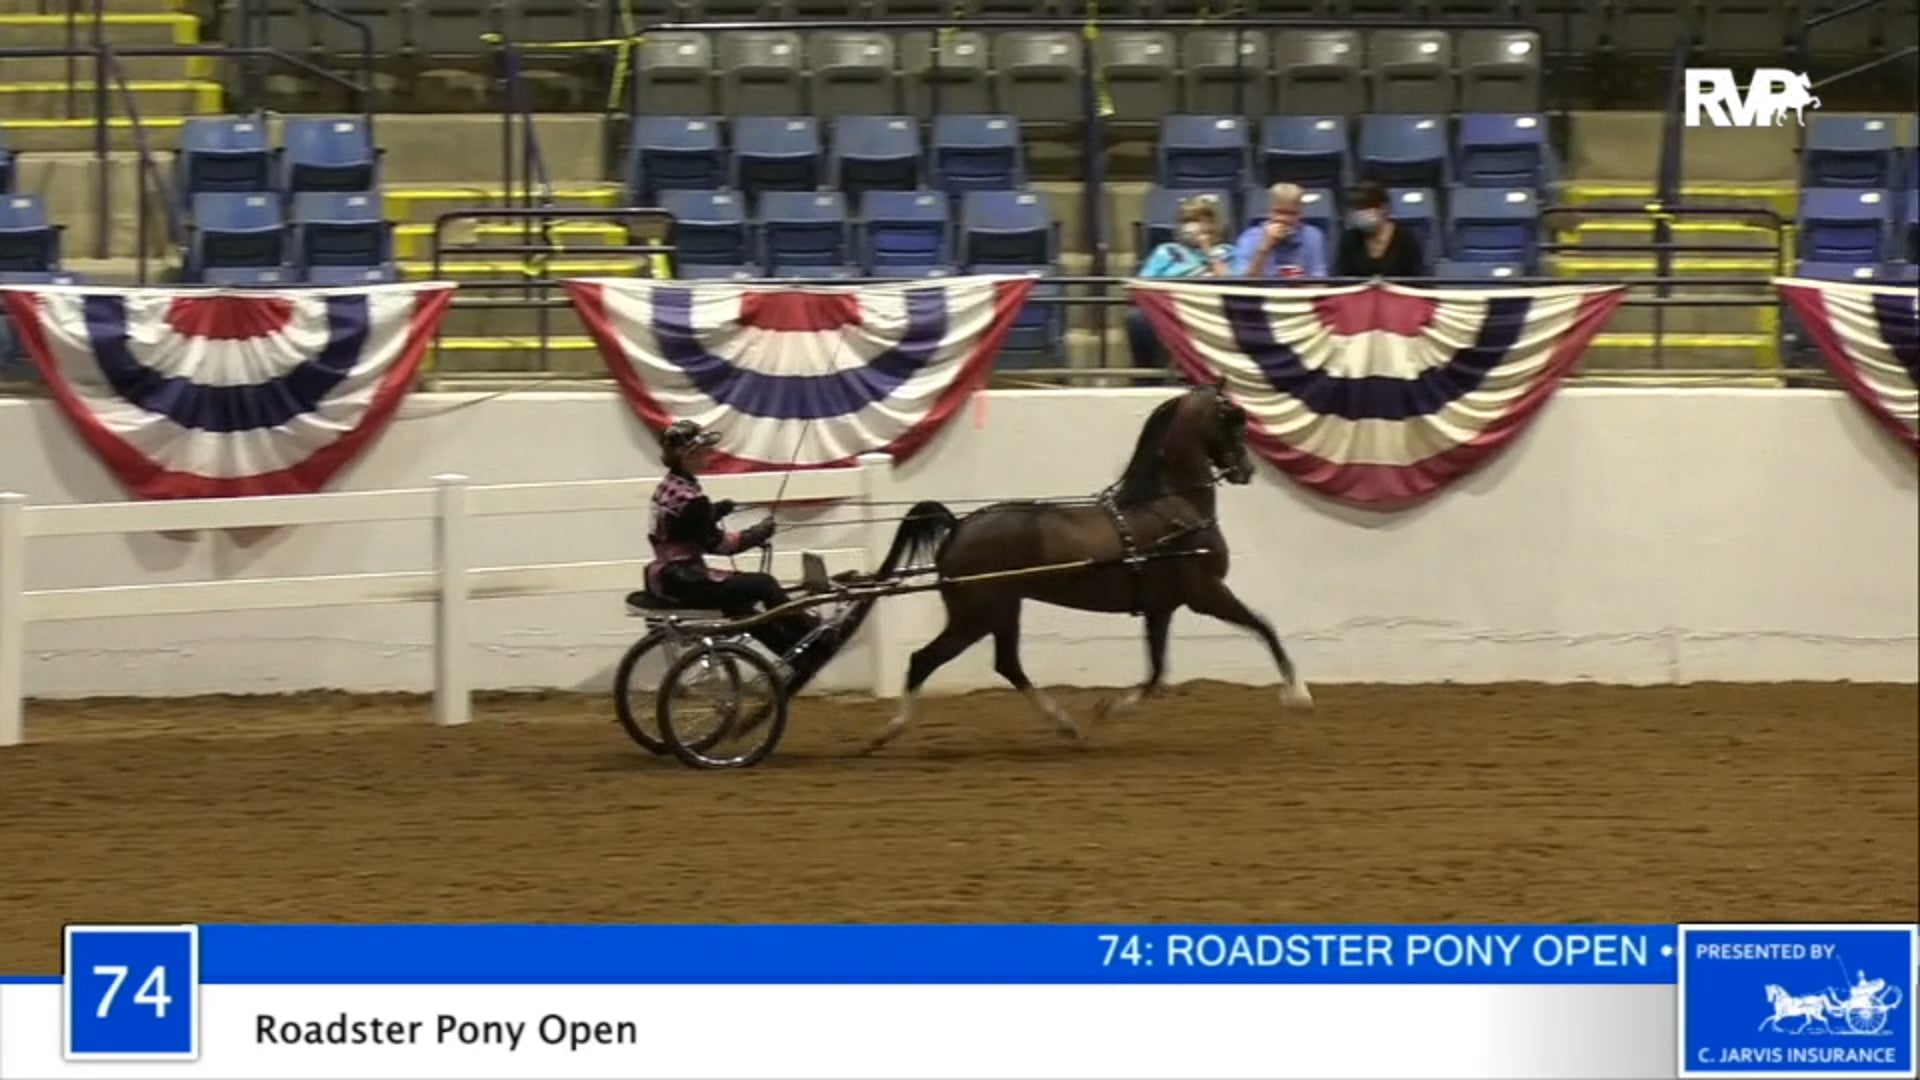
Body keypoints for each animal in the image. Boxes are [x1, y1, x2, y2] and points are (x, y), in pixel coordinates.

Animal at [863, 379, 1313, 753]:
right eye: (1232, 419)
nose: (1245, 470)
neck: (1173, 507)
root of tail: (958, 527)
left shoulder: (1160, 608)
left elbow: (1157, 670)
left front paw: (1112, 708)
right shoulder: (1205, 593)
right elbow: (1263, 627)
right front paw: (1298, 695)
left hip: (1004, 609)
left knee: (1007, 664)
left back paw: (1065, 724)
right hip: (975, 615)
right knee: (924, 660)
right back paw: (890, 730)